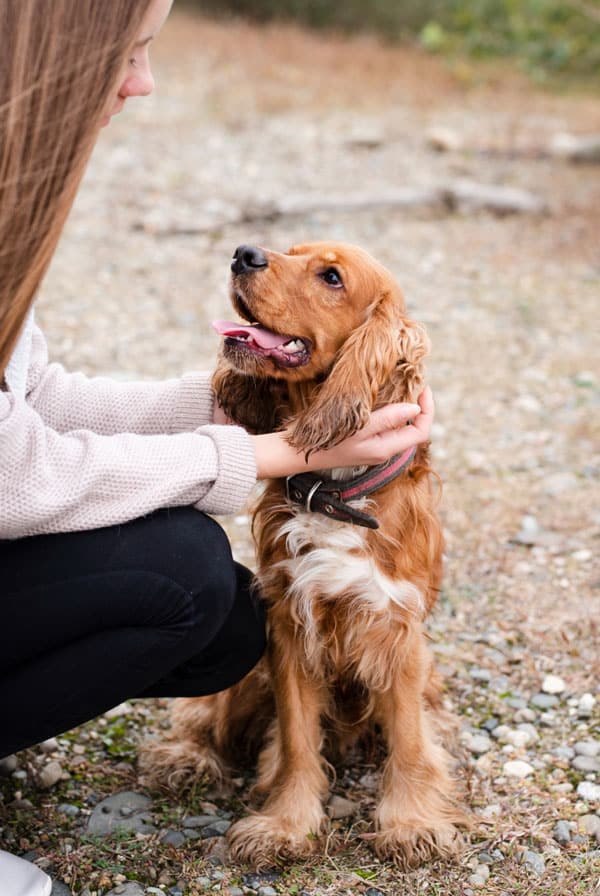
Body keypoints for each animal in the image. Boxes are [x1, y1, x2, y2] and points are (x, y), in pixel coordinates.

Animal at [142, 242, 468, 864]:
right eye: (289, 251)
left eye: (332, 276)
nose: (243, 252)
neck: (335, 491)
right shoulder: (289, 626)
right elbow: (294, 740)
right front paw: (286, 826)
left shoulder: (398, 631)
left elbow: (409, 739)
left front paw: (411, 822)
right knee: (207, 715)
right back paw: (187, 756)